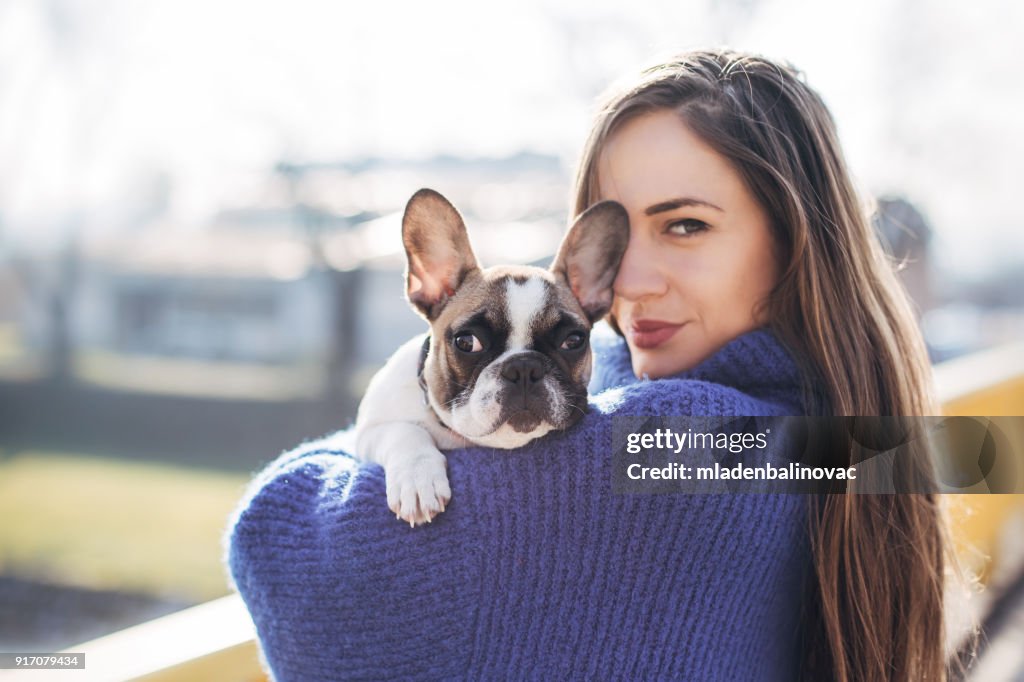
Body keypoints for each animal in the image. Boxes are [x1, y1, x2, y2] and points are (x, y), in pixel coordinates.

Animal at [356, 188, 626, 522]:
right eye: (467, 342)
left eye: (573, 341)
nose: (524, 368)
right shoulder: (369, 431)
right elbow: (404, 432)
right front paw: (418, 480)